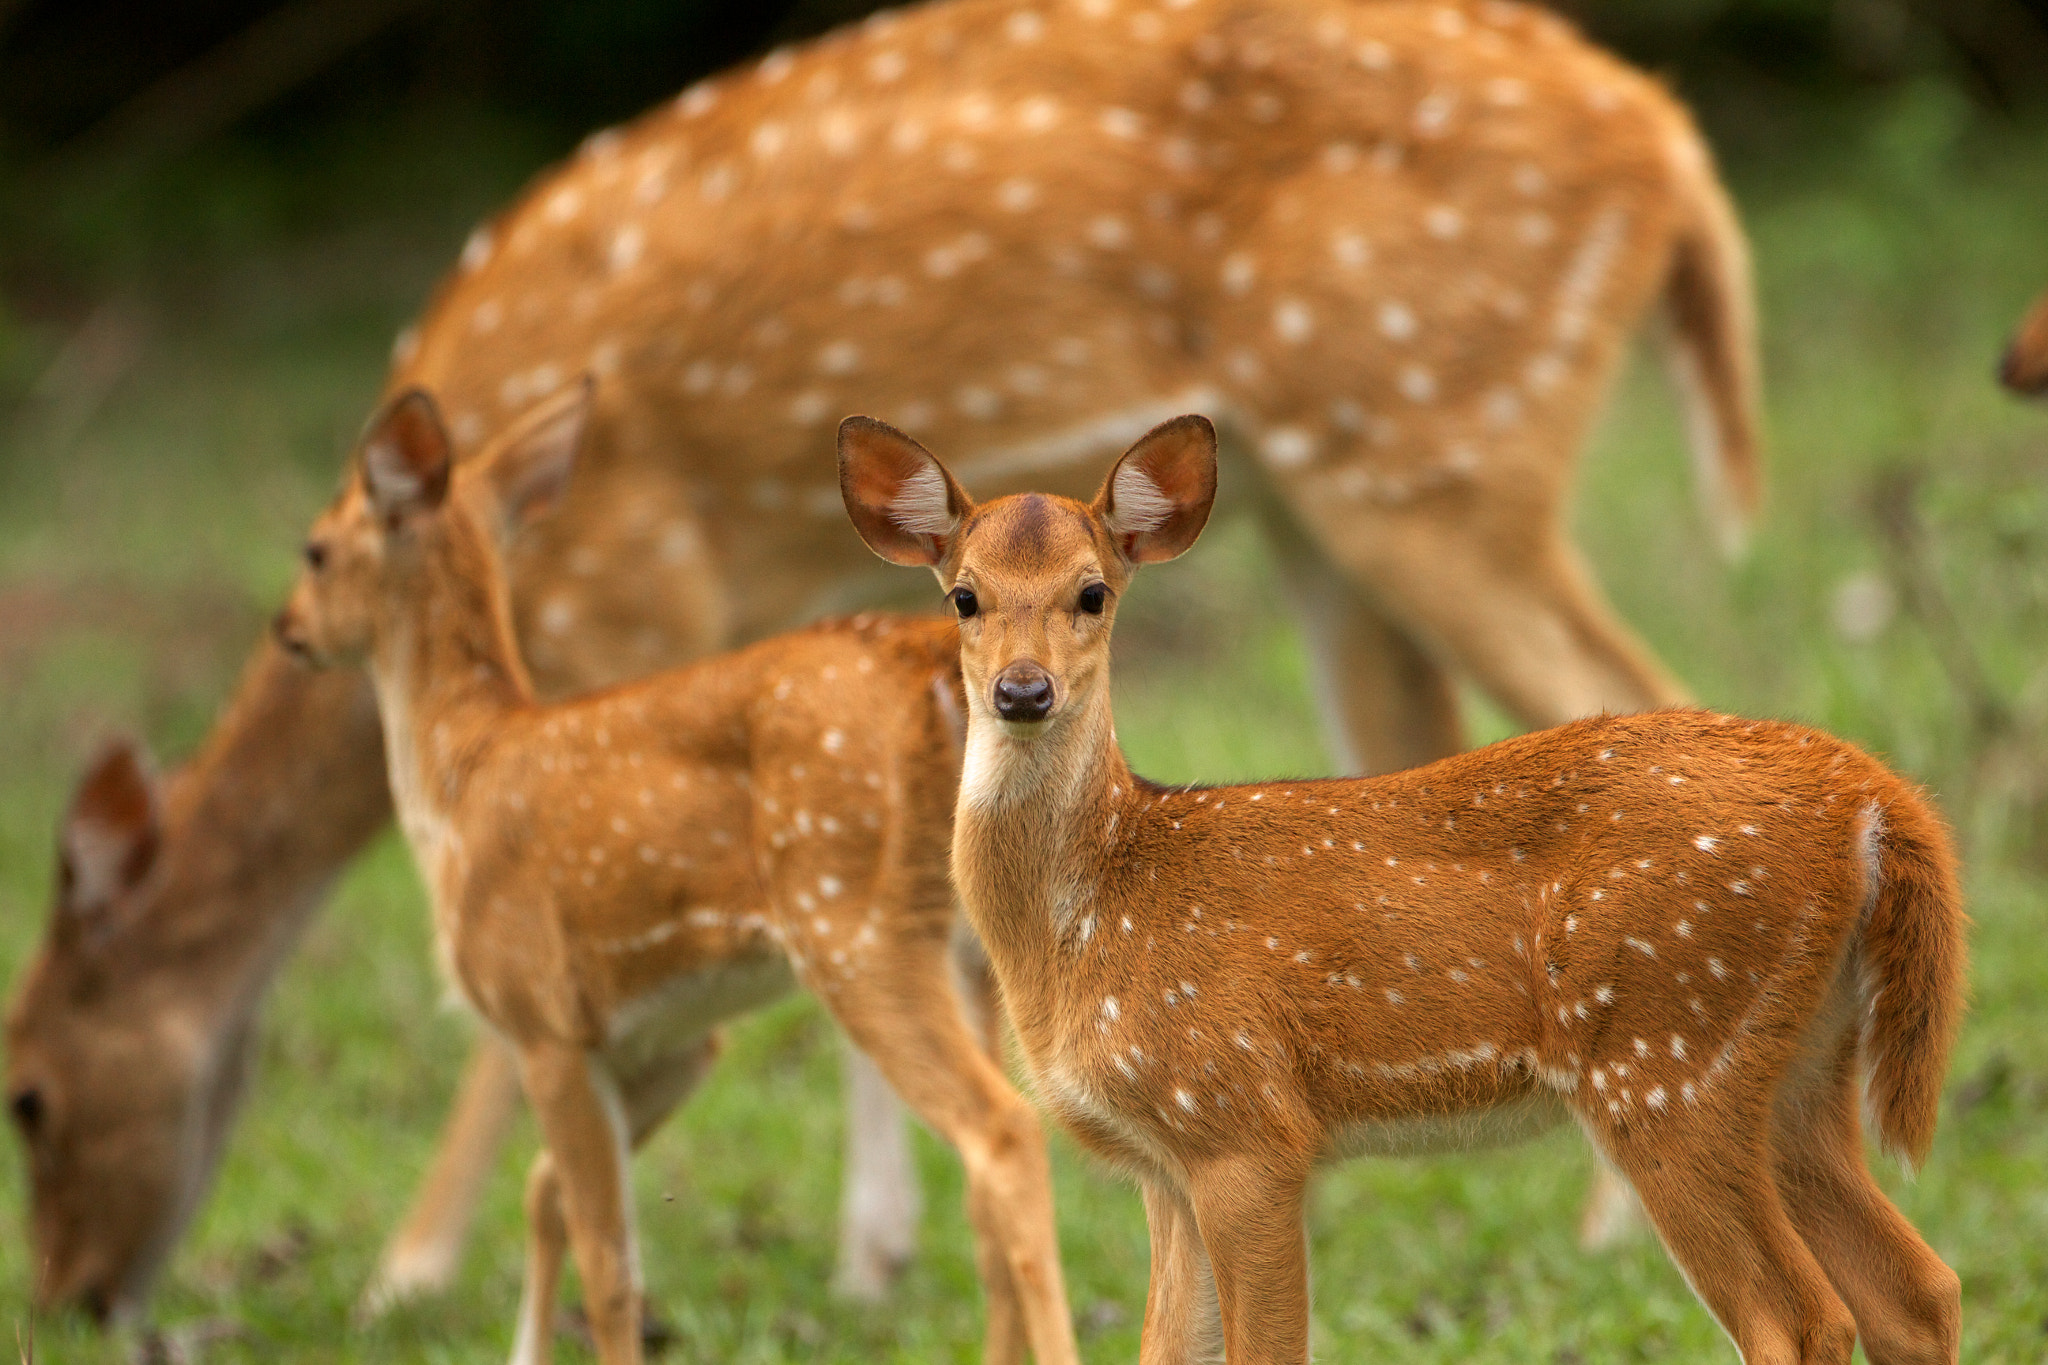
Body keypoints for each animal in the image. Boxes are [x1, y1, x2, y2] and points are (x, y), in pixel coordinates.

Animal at [258, 378, 1078, 1365]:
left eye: (315, 548)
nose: (289, 631)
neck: (461, 776)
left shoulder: (541, 1015)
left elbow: (610, 1262)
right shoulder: (670, 1039)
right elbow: (546, 1194)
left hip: (855, 927)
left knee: (1003, 1131)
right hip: (968, 949)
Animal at [838, 411, 1965, 1365]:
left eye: (1091, 592)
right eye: (964, 596)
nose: (1021, 691)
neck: (1091, 911)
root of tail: (1870, 800)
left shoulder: (1244, 1122)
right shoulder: (1164, 1161)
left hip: (1665, 1055)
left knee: (1799, 1318)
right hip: (1795, 1069)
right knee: (1916, 1290)